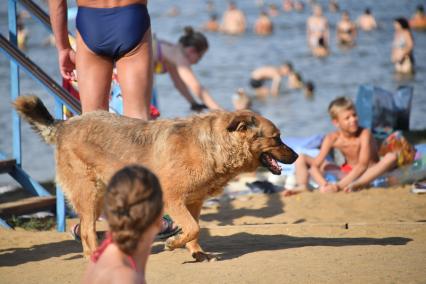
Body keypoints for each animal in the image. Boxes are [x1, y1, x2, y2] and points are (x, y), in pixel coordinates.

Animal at [14, 96, 300, 262]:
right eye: (277, 137)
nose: (298, 155)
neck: (213, 145)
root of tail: (64, 124)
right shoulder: (173, 199)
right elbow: (192, 227)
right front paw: (174, 244)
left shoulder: (193, 202)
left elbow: (194, 228)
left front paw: (196, 252)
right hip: (90, 193)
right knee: (86, 229)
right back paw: (94, 254)